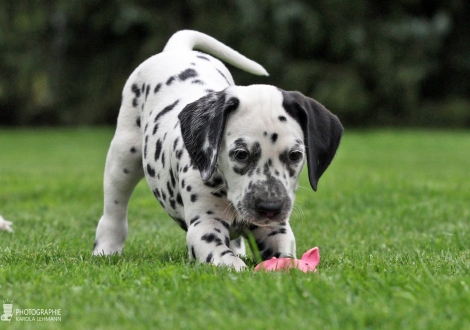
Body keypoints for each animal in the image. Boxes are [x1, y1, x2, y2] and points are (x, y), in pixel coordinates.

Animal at [92, 29, 342, 270]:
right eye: (240, 154)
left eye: (295, 155)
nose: (270, 207)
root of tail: (176, 50)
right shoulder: (204, 227)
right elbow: (227, 260)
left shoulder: (275, 230)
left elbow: (283, 252)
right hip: (123, 158)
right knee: (114, 208)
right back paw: (106, 248)